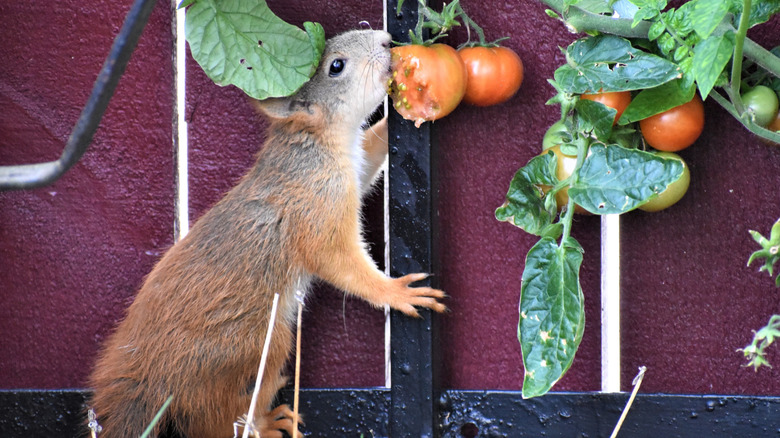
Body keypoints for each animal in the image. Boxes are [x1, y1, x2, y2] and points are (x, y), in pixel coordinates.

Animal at [88, 29, 446, 438]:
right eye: (336, 66)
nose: (386, 41)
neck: (315, 144)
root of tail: (153, 375)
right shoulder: (315, 208)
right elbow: (339, 262)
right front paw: (396, 292)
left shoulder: (356, 165)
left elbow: (371, 154)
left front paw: (397, 115)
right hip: (259, 342)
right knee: (216, 417)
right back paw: (265, 423)